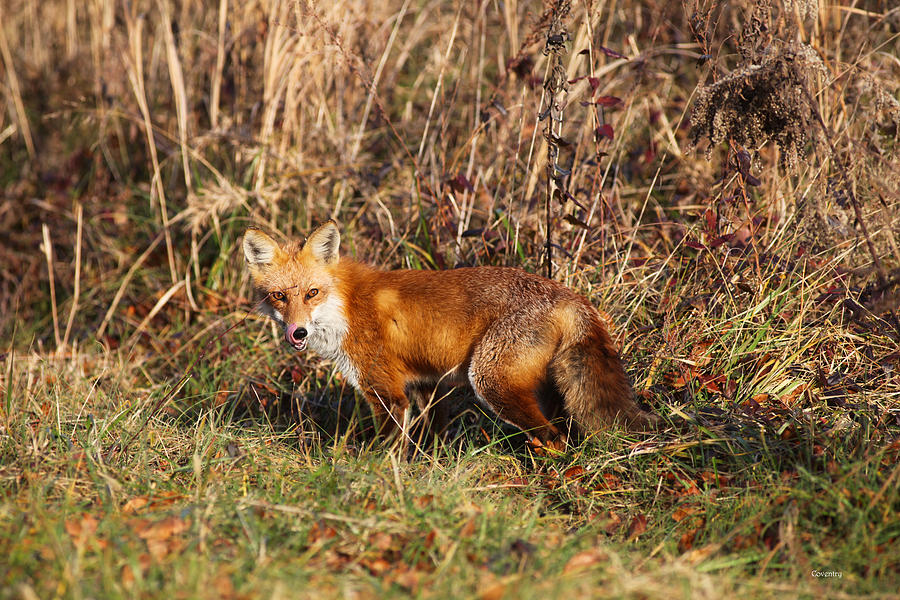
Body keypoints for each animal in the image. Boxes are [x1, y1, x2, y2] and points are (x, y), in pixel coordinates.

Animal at [243, 220, 656, 446]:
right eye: (279, 296)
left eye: (312, 293)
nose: (296, 332)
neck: (345, 307)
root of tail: (571, 296)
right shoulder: (427, 385)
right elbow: (431, 439)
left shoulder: (387, 392)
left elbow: (388, 448)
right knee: (559, 430)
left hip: (490, 381)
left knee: (554, 438)